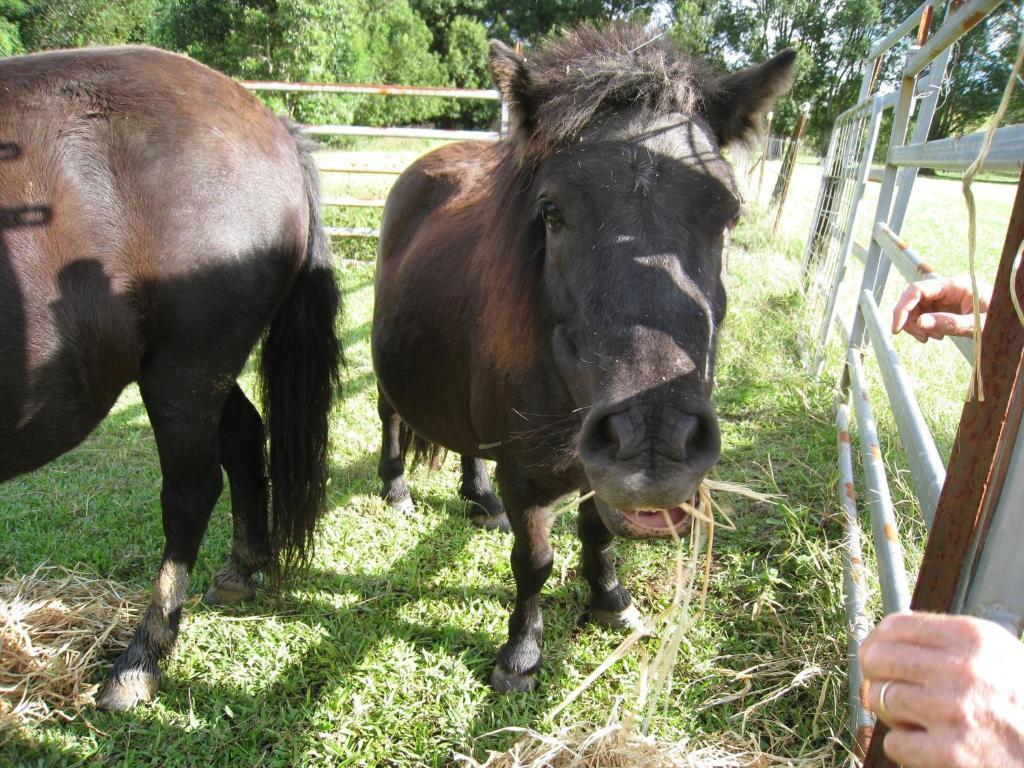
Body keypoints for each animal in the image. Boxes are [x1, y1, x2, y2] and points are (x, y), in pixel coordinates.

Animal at [0, 46, 344, 708]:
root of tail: (269, 122)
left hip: (186, 369)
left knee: (191, 491)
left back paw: (142, 657)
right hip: (193, 370)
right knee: (244, 437)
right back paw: (239, 572)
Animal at [372, 27, 794, 696]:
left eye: (728, 212)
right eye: (551, 211)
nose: (655, 448)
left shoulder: (596, 467)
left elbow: (596, 531)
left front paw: (610, 600)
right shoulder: (529, 479)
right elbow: (535, 562)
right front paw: (520, 655)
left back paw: (480, 498)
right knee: (389, 414)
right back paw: (396, 487)